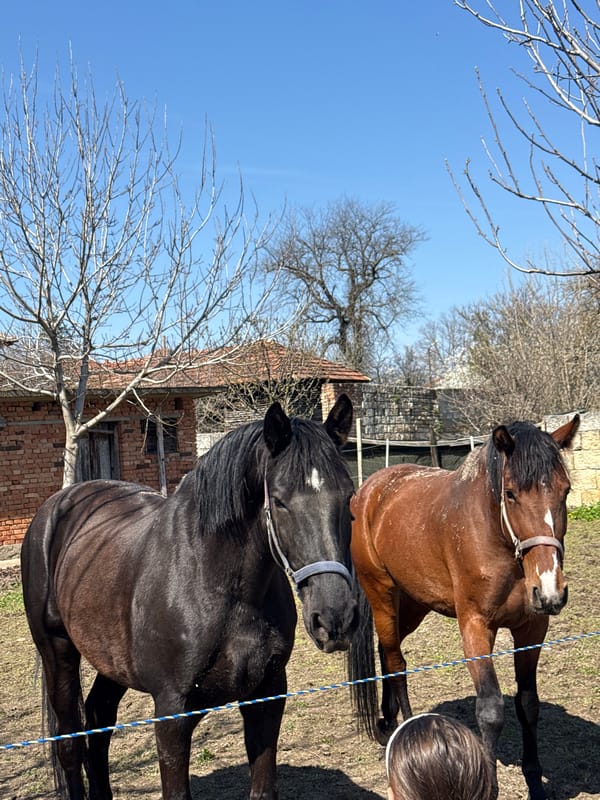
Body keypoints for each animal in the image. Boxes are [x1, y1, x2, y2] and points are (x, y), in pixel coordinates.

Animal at [21, 394, 358, 800]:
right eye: (279, 501)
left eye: (349, 495)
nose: (334, 617)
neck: (219, 587)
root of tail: (57, 507)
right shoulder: (172, 713)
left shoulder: (266, 697)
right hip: (58, 651)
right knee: (69, 741)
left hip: (111, 661)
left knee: (99, 723)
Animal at [347, 415, 580, 800]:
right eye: (511, 493)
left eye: (565, 491)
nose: (550, 590)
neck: (494, 534)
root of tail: (369, 492)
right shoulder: (475, 626)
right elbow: (491, 710)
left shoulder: (531, 630)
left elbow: (528, 705)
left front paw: (535, 782)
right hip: (381, 594)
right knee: (396, 663)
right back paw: (402, 727)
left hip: (412, 604)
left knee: (386, 649)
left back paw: (387, 723)